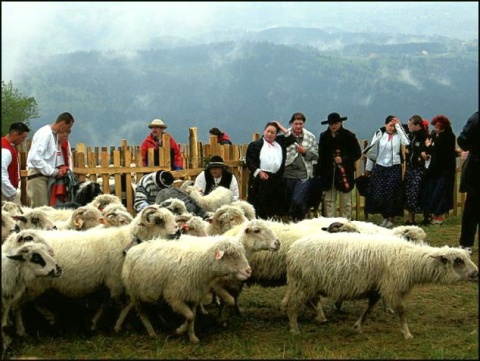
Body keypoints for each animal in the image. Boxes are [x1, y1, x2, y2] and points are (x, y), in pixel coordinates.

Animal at [11, 204, 180, 334]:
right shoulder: (118, 282)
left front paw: (94, 323)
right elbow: (126, 305)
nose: (178, 232)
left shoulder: (108, 283)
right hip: (34, 284)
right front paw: (120, 325)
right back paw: (24, 329)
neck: (128, 240)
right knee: (19, 306)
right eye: (159, 221)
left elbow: (106, 304)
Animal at [112, 235, 251, 342]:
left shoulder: (193, 295)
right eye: (231, 255)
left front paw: (192, 337)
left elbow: (193, 317)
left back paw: (119, 326)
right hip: (136, 292)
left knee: (131, 306)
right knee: (142, 313)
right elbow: (189, 316)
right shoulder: (175, 297)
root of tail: (133, 249)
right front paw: (179, 331)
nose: (248, 271)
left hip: (146, 292)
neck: (199, 264)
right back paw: (152, 332)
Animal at [280, 232, 478, 338]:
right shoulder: (391, 287)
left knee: (299, 302)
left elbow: (369, 308)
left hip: (303, 284)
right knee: (292, 306)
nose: (476, 273)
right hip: (302, 284)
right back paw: (295, 329)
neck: (410, 260)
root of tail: (291, 251)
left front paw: (358, 326)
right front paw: (407, 333)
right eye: (459, 261)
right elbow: (402, 311)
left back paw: (318, 317)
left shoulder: (378, 288)